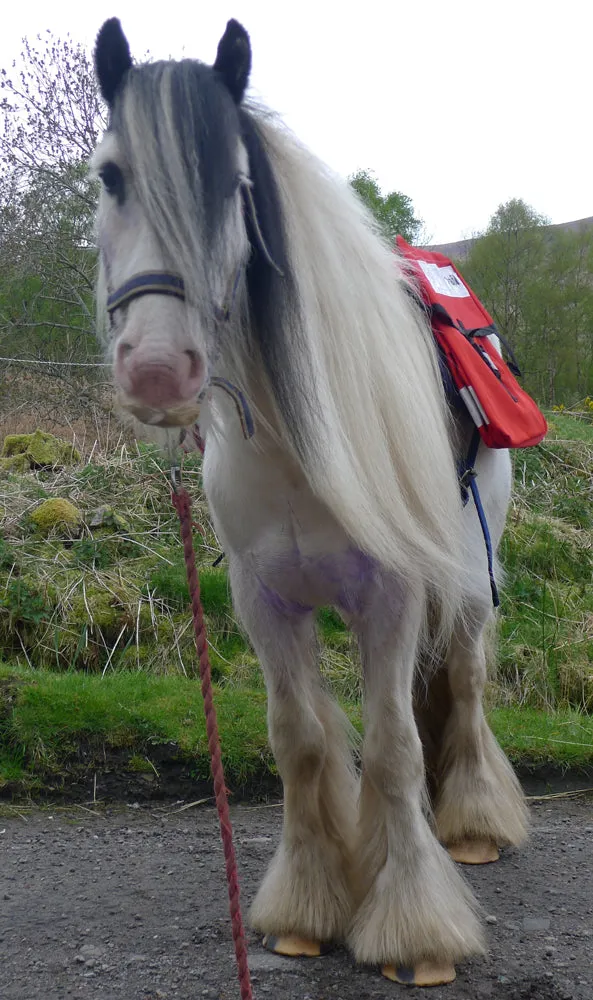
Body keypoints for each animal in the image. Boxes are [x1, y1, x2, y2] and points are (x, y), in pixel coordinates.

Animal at [90, 19, 524, 988]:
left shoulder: (393, 598)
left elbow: (394, 747)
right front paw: (305, 908)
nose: (157, 371)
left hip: (469, 576)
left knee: (465, 680)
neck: (294, 447)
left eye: (235, 186)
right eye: (109, 175)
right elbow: (302, 740)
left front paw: (415, 930)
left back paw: (473, 825)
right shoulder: (265, 599)